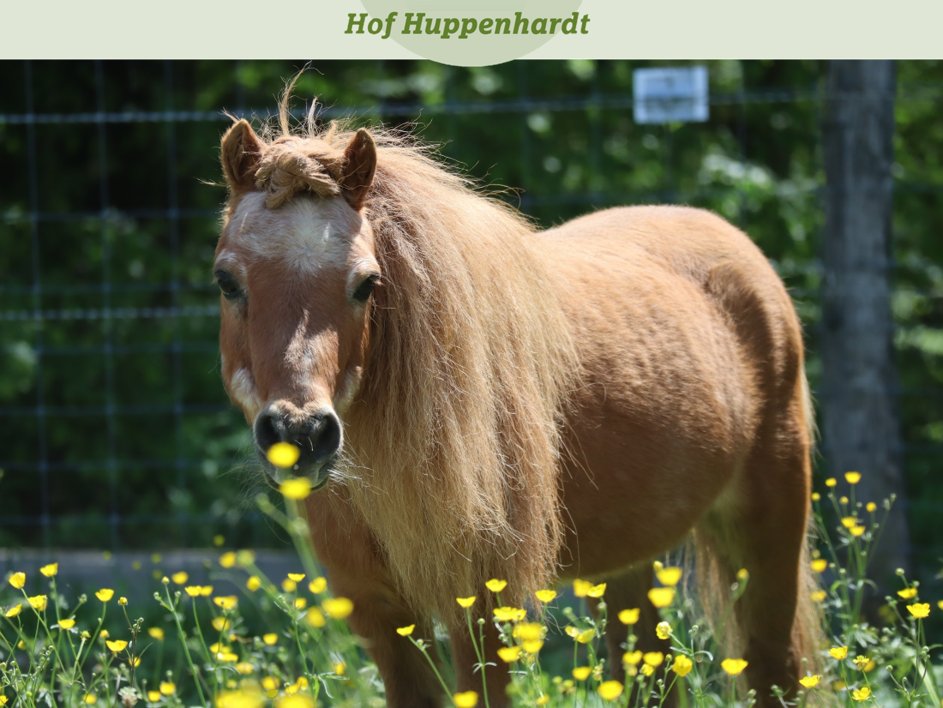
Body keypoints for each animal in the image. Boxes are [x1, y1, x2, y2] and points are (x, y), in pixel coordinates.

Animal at [214, 98, 821, 707]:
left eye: (366, 284)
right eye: (226, 281)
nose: (300, 434)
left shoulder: (481, 604)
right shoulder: (381, 613)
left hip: (769, 530)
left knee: (774, 666)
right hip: (628, 561)